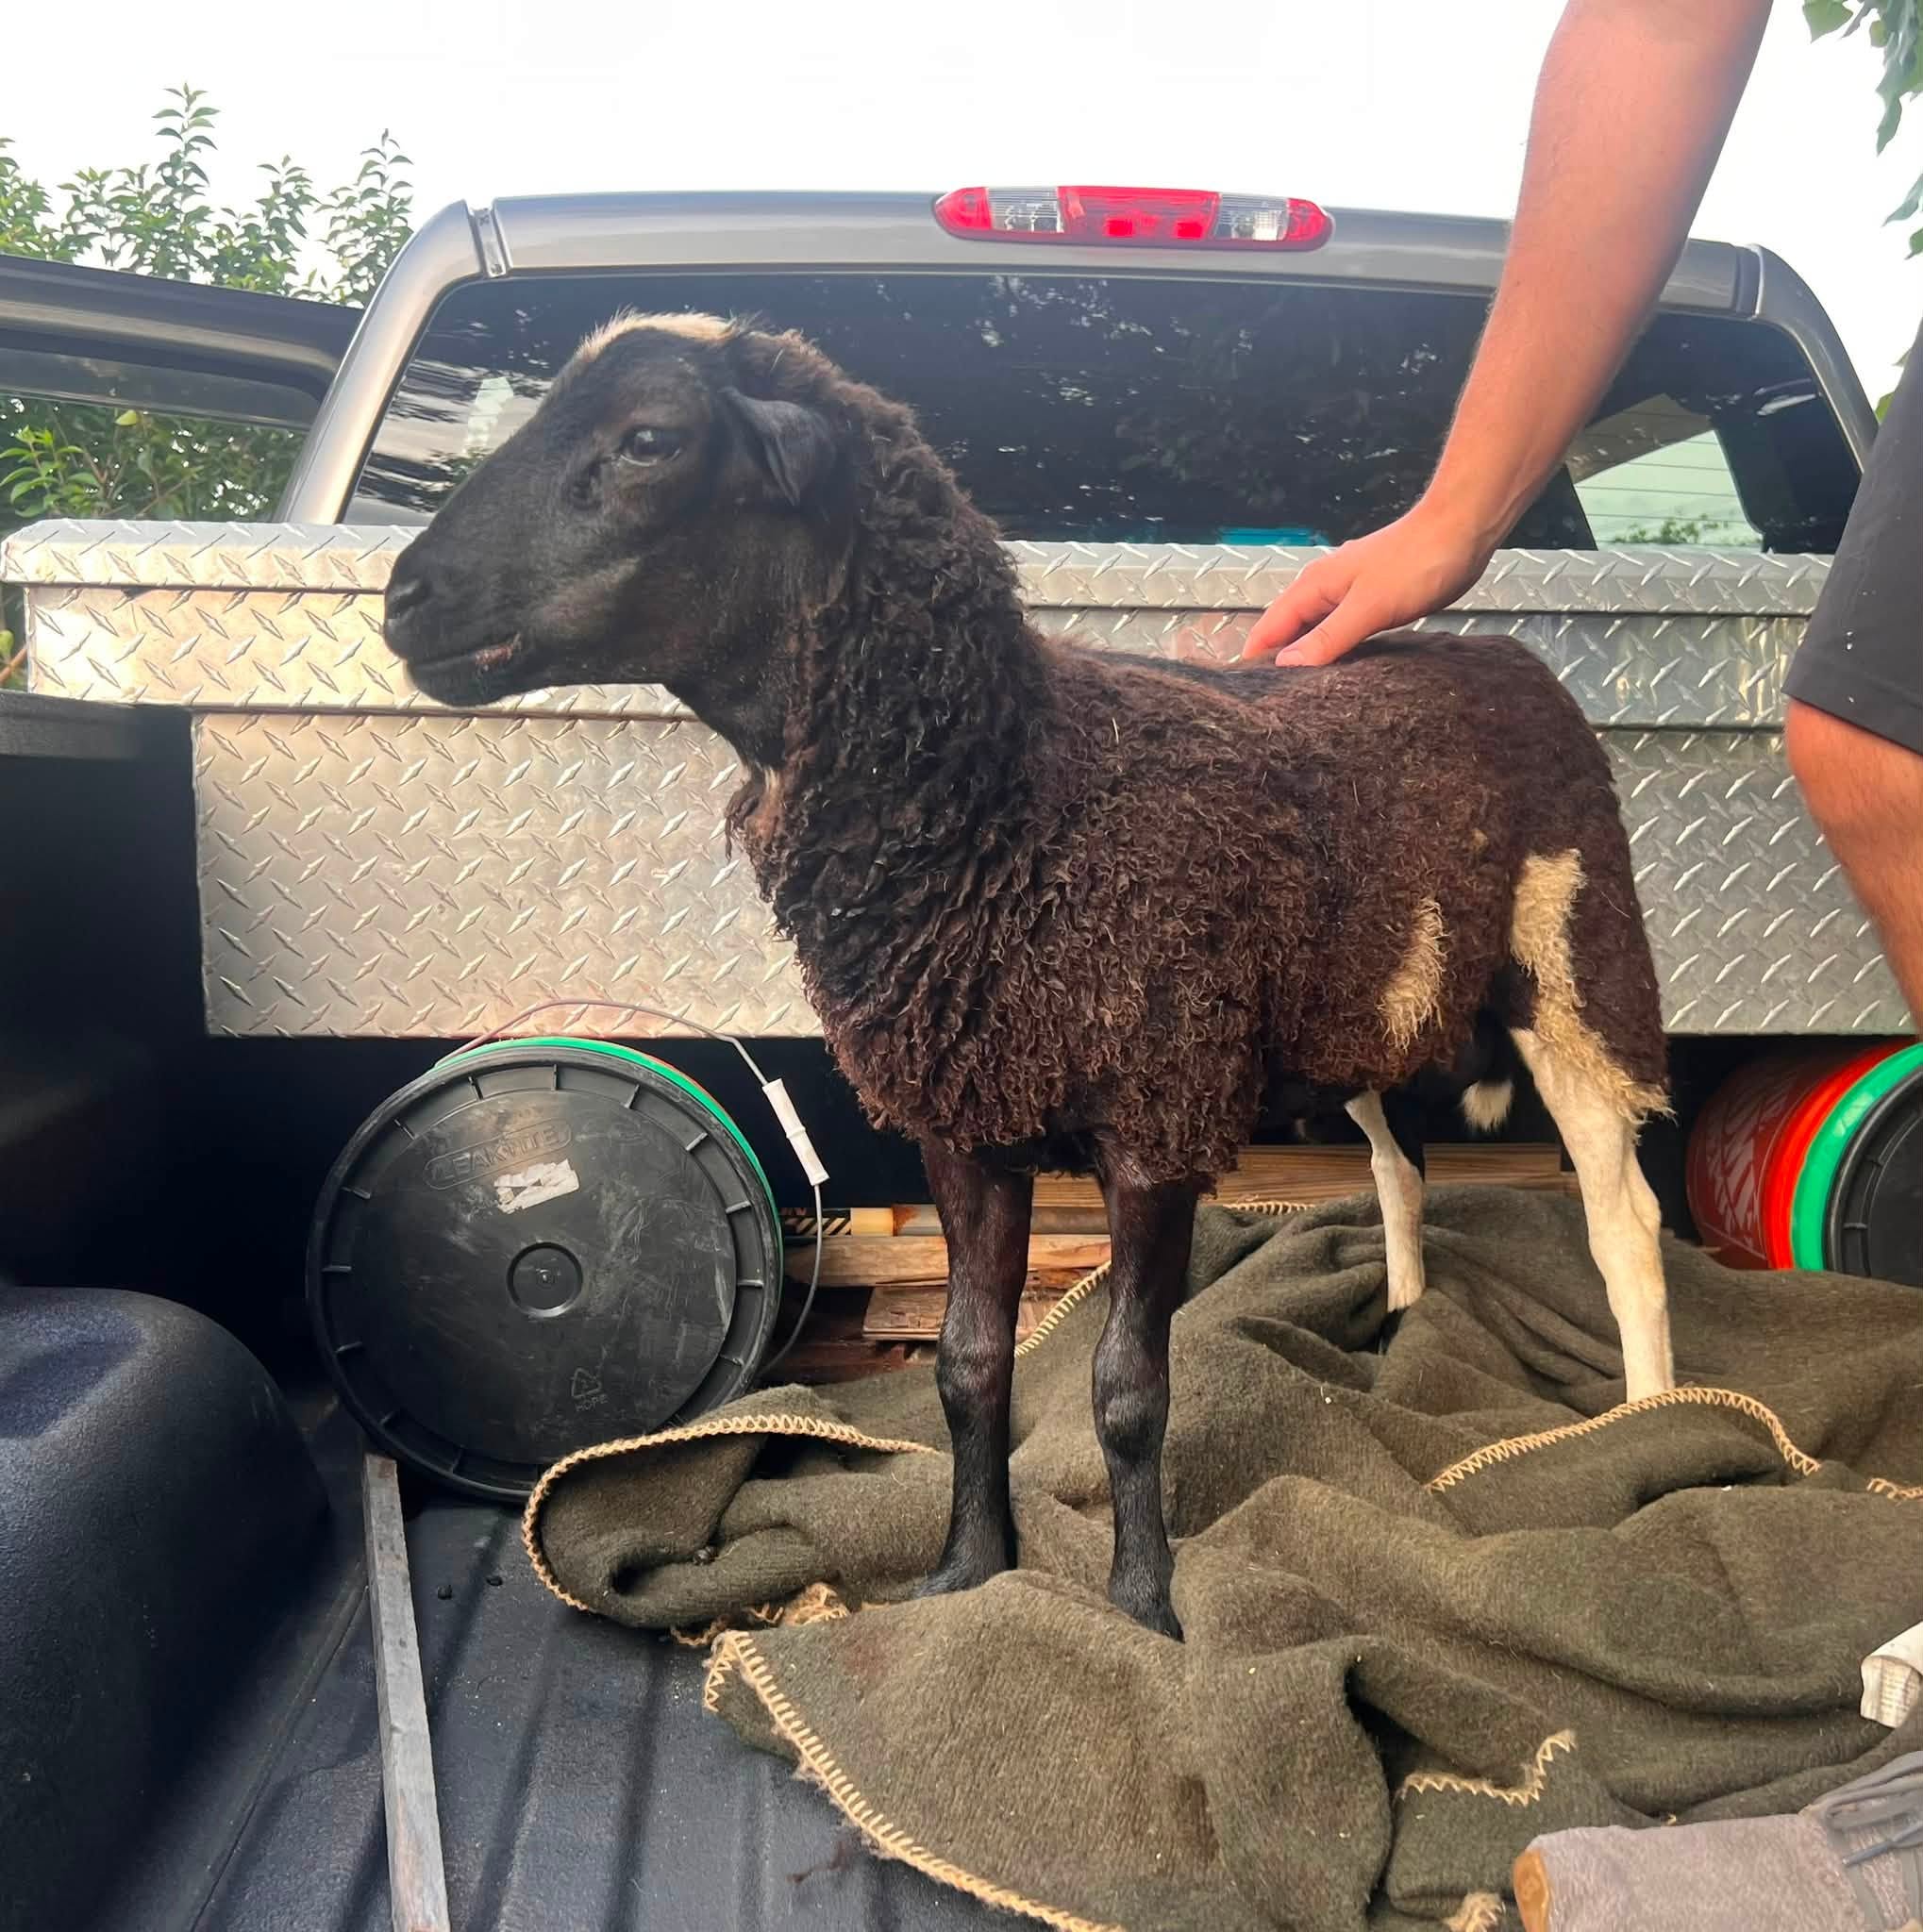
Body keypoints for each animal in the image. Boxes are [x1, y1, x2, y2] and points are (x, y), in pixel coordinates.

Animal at [382, 313, 1674, 1641]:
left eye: (649, 440)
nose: (402, 599)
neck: (1016, 790)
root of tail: (1502, 649)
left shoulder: (1156, 1116)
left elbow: (1126, 1386)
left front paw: (1143, 1605)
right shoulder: (964, 1118)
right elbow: (965, 1365)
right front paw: (967, 1570)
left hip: (1574, 952)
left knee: (1622, 1215)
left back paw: (1653, 1423)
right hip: (1358, 994)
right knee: (1396, 1164)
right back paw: (1406, 1324)